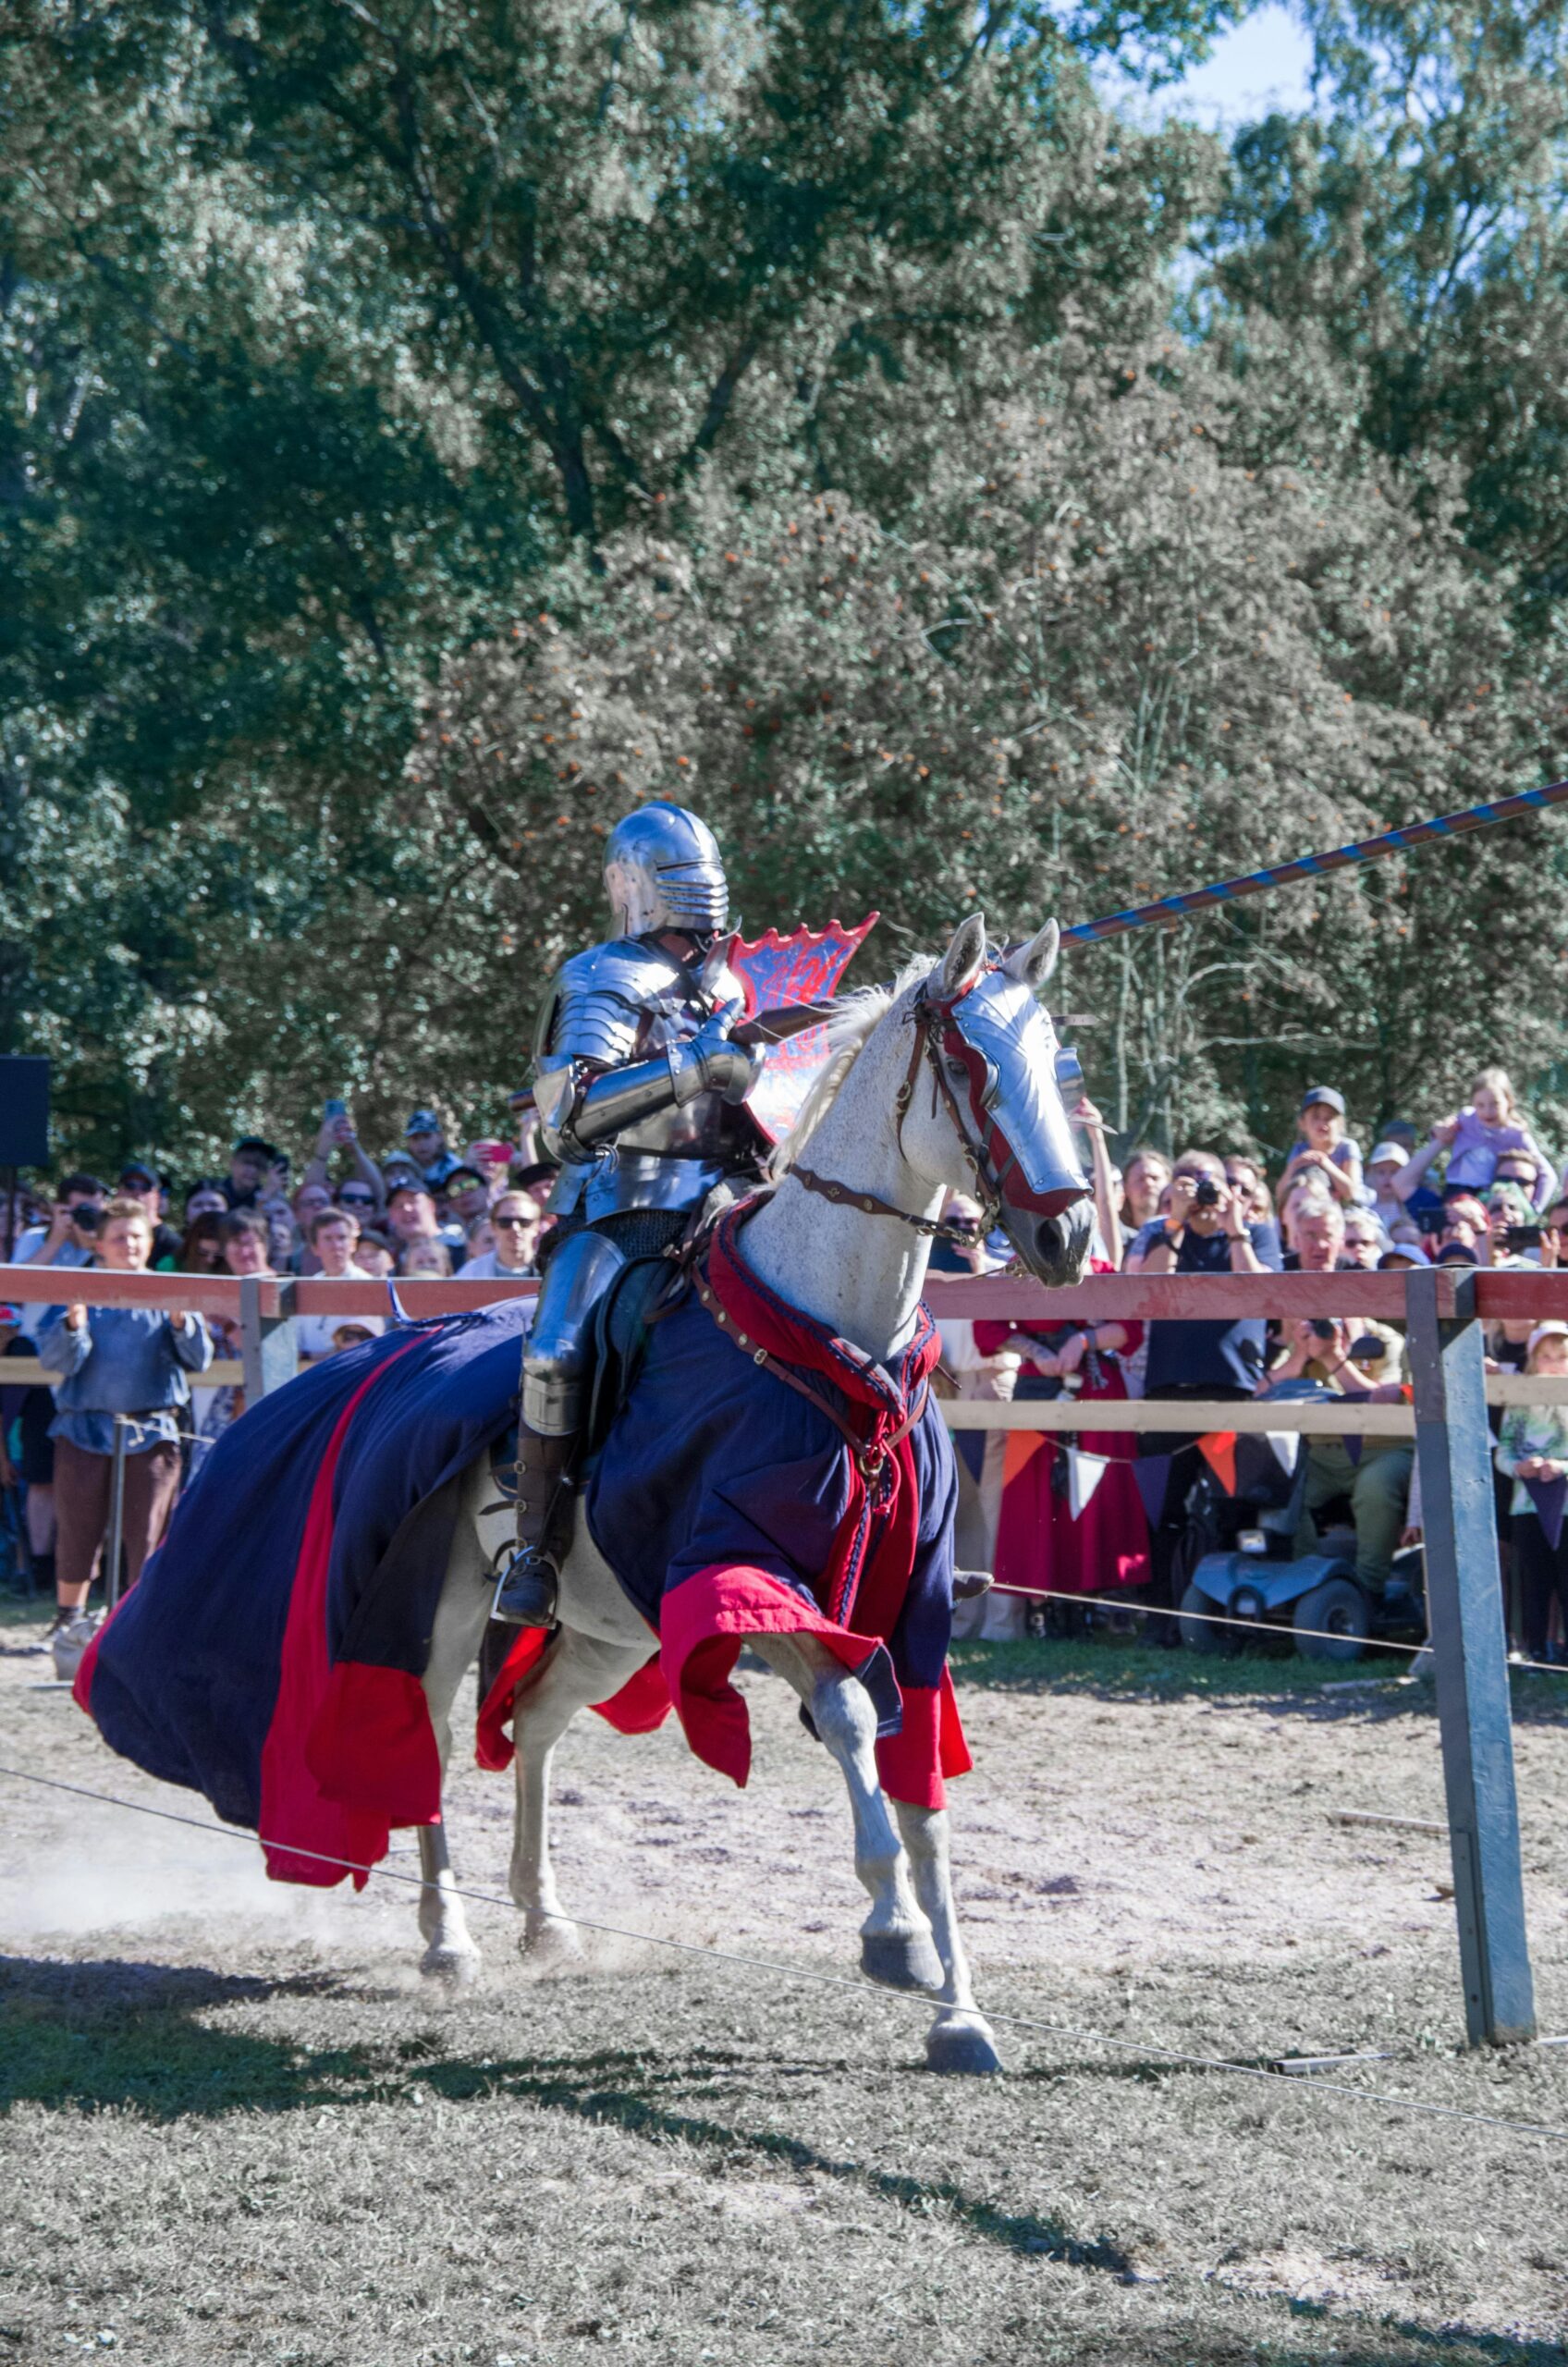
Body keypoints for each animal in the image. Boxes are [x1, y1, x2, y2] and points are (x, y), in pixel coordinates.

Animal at [411, 914, 1094, 2064]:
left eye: (1056, 1064)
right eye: (971, 1068)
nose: (1067, 1235)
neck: (837, 1342)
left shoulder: (905, 1605)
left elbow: (921, 1790)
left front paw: (959, 2007)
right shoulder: (747, 1584)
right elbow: (854, 1723)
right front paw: (893, 1934)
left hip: (609, 1632)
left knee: (536, 1724)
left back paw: (543, 1918)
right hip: (454, 1607)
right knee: (425, 1727)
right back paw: (446, 1937)